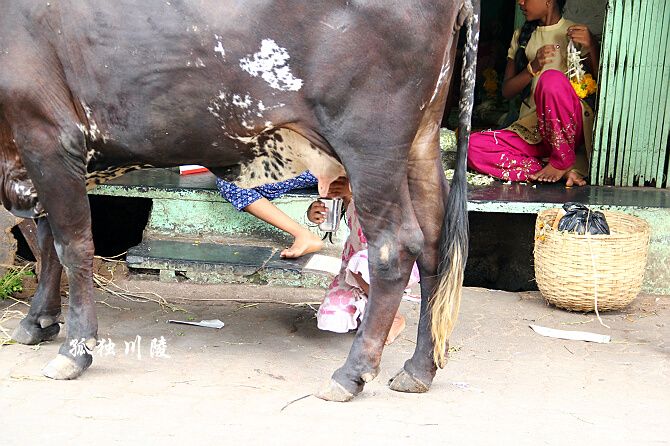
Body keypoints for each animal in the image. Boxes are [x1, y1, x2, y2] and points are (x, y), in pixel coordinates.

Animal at [1, 0, 484, 400]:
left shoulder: (48, 134)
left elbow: (71, 244)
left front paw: (74, 349)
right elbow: (46, 239)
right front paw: (37, 321)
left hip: (372, 145)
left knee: (395, 247)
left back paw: (351, 375)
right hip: (420, 145)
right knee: (436, 248)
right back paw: (419, 370)